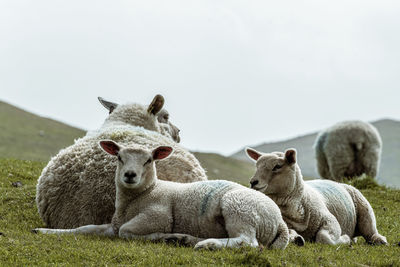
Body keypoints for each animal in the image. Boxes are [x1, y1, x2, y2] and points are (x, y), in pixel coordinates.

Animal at [32, 142, 290, 251]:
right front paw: (45, 231)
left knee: (247, 241)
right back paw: (188, 239)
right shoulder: (112, 225)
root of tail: (280, 222)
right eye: (119, 158)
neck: (144, 194)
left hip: (239, 208)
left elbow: (127, 232)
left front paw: (163, 237)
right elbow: (84, 229)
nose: (130, 175)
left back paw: (206, 244)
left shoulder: (158, 215)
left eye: (149, 160)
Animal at [245, 148, 386, 246]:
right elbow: (290, 234)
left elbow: (323, 237)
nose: (253, 182)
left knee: (370, 231)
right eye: (257, 166)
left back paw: (378, 240)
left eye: (277, 166)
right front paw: (296, 239)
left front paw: (344, 239)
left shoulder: (330, 220)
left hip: (365, 209)